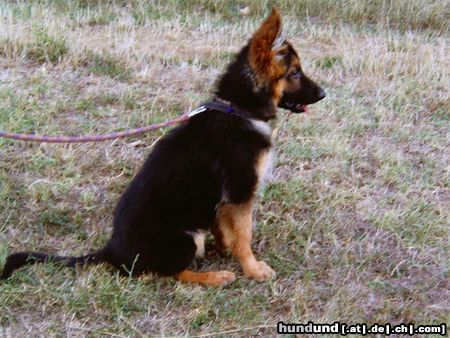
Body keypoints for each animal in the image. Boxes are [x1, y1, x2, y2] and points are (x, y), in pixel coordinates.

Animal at [0, 8, 324, 286]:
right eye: (295, 73)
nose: (323, 94)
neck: (237, 109)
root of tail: (111, 251)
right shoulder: (241, 192)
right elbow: (244, 236)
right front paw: (253, 268)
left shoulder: (224, 202)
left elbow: (224, 228)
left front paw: (226, 249)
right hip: (186, 235)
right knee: (168, 273)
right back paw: (214, 276)